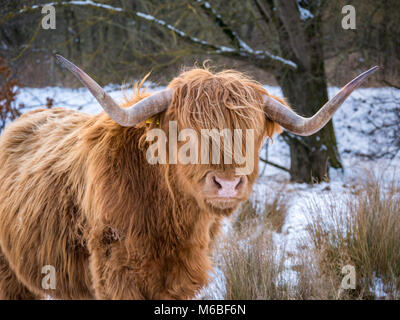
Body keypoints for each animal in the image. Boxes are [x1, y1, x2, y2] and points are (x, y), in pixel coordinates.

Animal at [0, 55, 376, 300]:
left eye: (252, 132)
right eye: (185, 134)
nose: (227, 184)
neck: (169, 223)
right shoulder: (116, 276)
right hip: (10, 276)